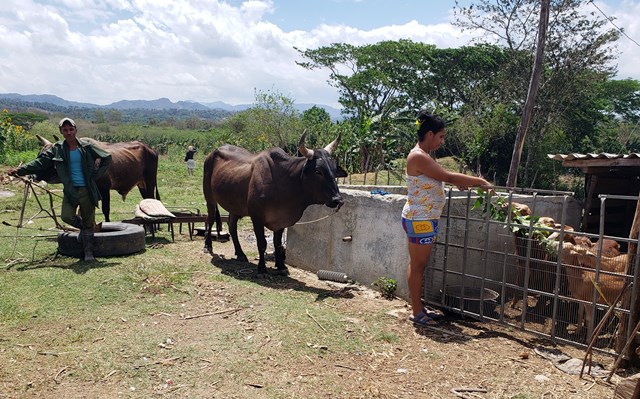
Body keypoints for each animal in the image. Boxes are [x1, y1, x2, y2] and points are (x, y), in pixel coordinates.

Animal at [204, 133, 344, 276]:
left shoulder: (281, 219)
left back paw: (240, 253)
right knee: (210, 219)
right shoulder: (256, 217)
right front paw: (262, 268)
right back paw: (208, 246)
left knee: (232, 226)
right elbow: (262, 243)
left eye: (334, 170)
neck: (284, 181)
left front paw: (281, 266)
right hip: (209, 197)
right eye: (318, 171)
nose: (338, 200)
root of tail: (214, 151)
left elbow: (278, 244)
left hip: (234, 205)